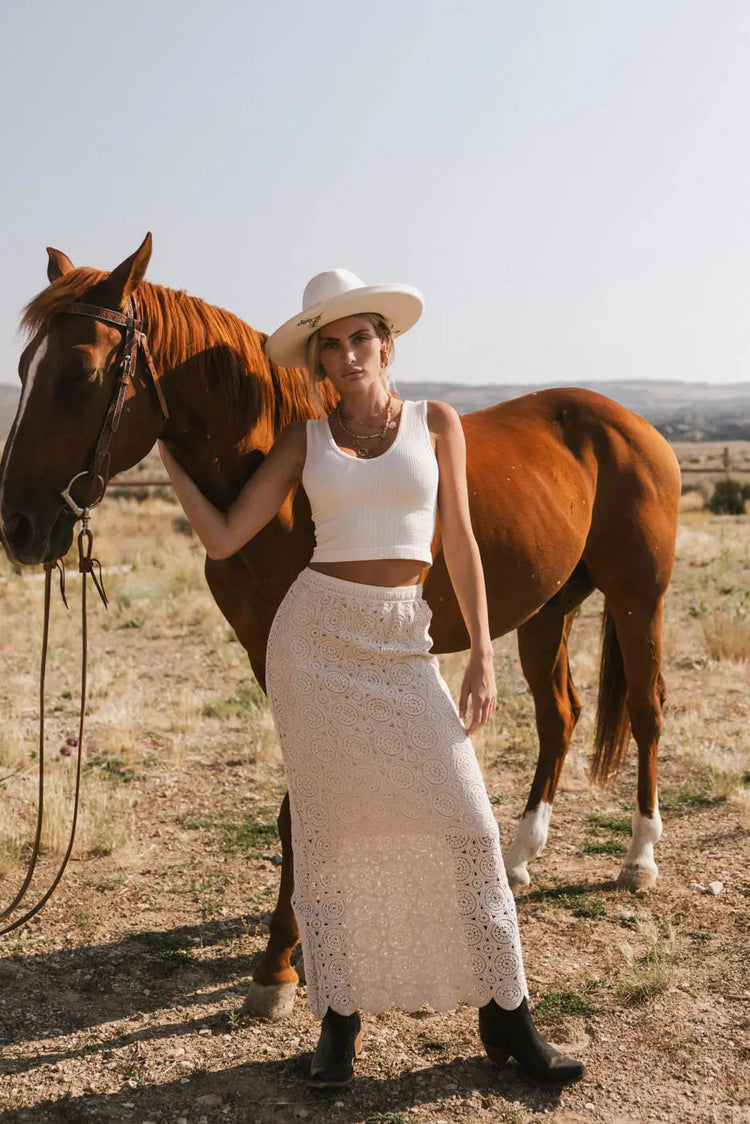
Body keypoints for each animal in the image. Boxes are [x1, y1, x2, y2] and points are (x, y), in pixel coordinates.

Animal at [0, 234, 679, 1020]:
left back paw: (640, 858)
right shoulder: (267, 653)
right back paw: (516, 860)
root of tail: (629, 423)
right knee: (559, 717)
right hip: (546, 614)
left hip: (638, 599)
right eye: (24, 368)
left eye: (81, 372)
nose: (18, 526)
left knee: (645, 710)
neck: (278, 492)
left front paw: (278, 964)